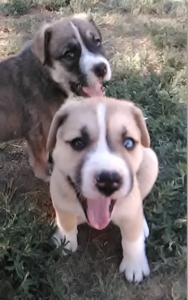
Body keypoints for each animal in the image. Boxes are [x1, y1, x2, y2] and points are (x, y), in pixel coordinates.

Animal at [0, 13, 111, 180]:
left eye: (97, 42)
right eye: (69, 54)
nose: (101, 68)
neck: (47, 76)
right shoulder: (39, 141)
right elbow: (43, 168)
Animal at [47, 97, 159, 282]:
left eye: (129, 143)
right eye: (78, 143)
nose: (109, 180)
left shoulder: (131, 208)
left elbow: (132, 239)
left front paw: (135, 264)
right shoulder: (59, 196)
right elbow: (66, 222)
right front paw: (66, 241)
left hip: (151, 161)